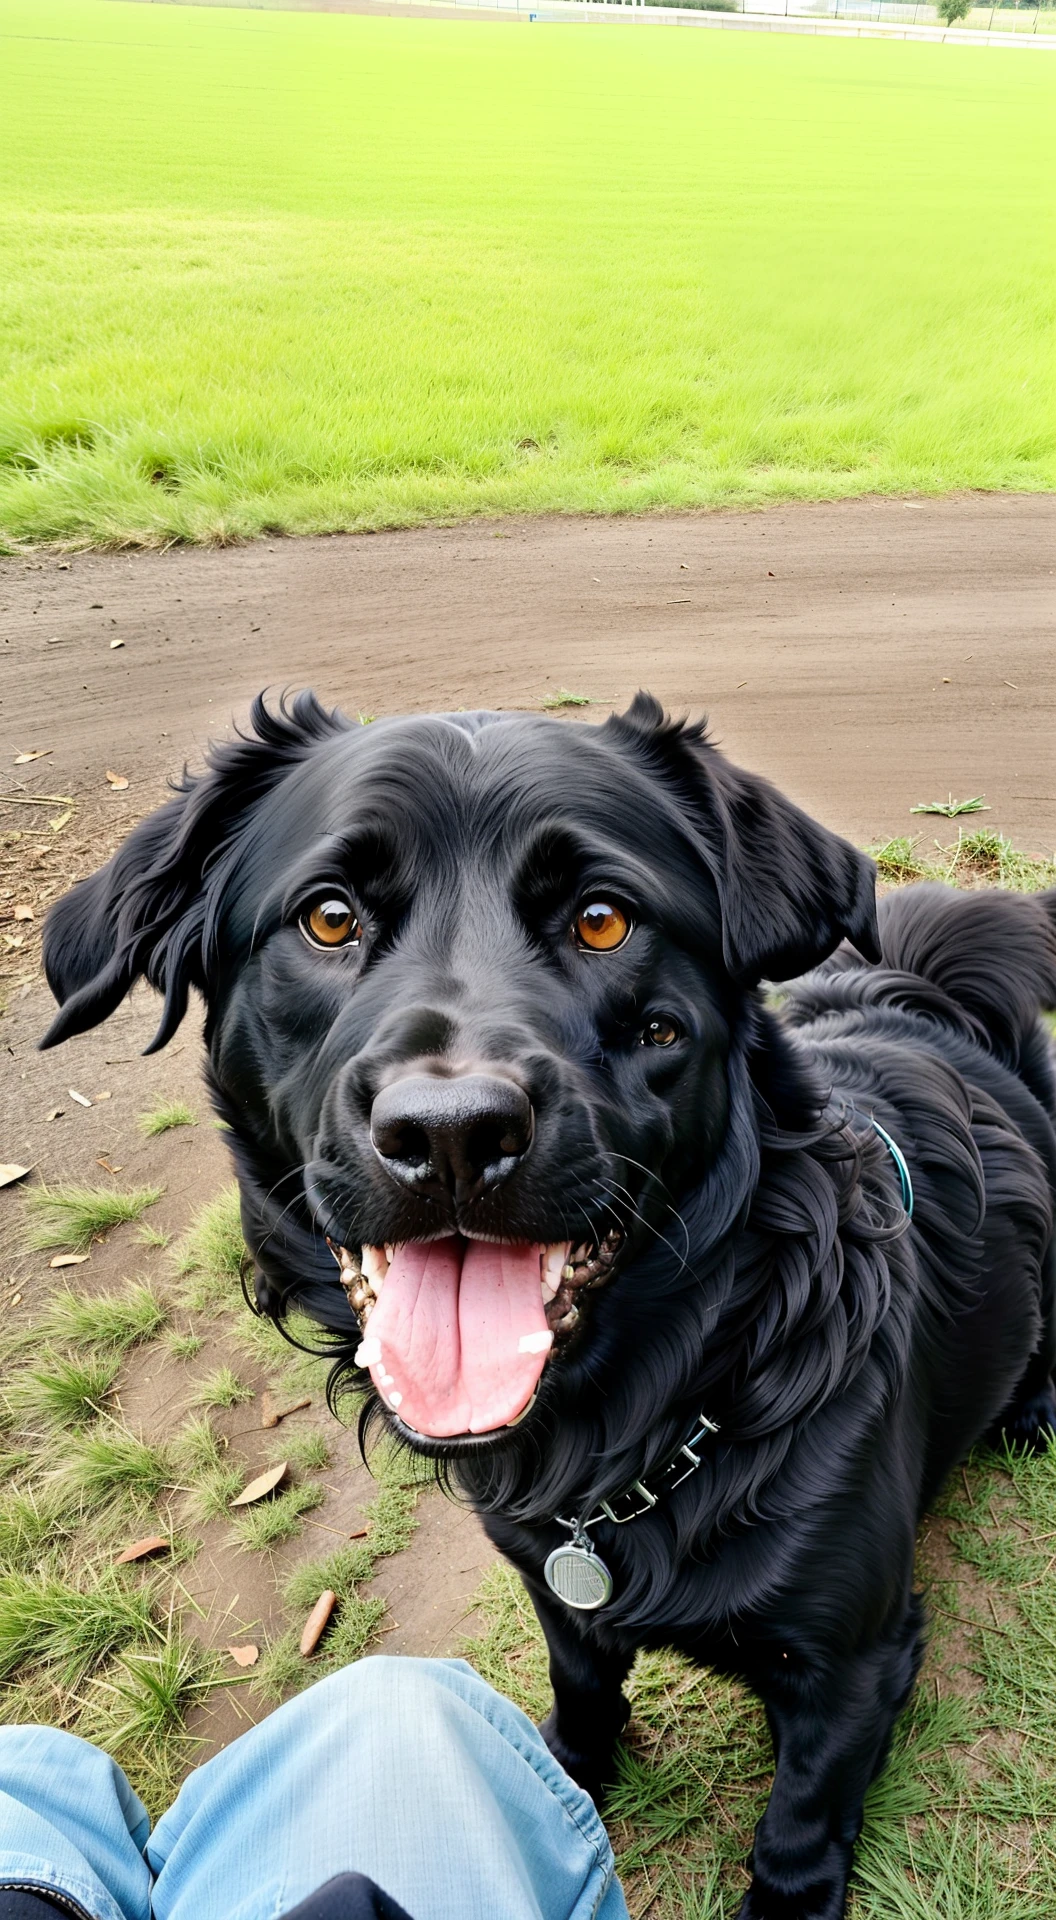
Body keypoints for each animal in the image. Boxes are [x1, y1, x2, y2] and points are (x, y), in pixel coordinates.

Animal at [41, 695, 1056, 1920]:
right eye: (327, 919)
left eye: (605, 922)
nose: (450, 1133)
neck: (660, 1409)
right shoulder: (555, 1591)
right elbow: (581, 1694)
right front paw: (561, 1783)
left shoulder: (850, 1662)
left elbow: (801, 1821)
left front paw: (788, 1888)